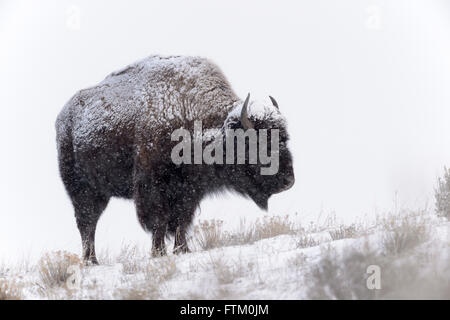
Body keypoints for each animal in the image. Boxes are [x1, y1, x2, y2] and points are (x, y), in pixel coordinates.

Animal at [55, 55, 296, 264]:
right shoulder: (153, 187)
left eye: (284, 138)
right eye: (257, 144)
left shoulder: (189, 190)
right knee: (87, 223)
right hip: (83, 190)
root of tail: (63, 118)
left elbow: (182, 219)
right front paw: (158, 253)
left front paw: (182, 250)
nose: (288, 181)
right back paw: (91, 261)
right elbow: (159, 221)